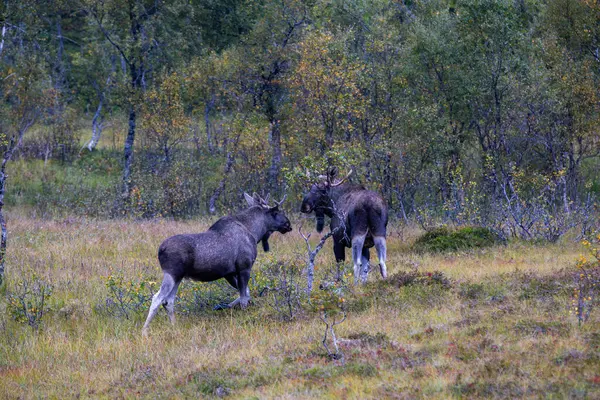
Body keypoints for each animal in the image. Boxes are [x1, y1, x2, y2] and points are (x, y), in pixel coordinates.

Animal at [141, 192, 290, 332]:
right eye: (276, 212)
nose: (288, 224)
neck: (254, 232)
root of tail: (160, 250)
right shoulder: (244, 267)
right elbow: (244, 298)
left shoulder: (229, 273)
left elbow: (246, 294)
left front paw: (223, 306)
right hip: (172, 273)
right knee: (157, 298)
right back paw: (145, 331)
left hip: (178, 277)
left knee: (168, 301)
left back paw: (174, 326)